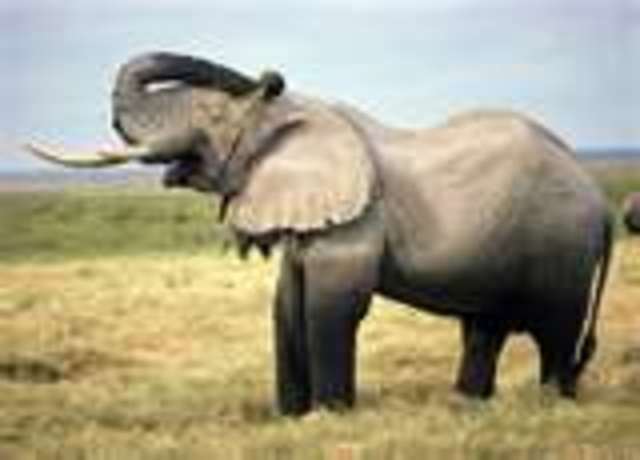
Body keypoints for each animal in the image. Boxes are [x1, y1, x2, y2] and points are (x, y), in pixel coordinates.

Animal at [24, 52, 614, 415]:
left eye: (211, 113)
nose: (271, 75)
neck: (298, 113)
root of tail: (601, 201)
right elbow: (287, 304)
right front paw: (291, 417)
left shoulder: (356, 219)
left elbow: (331, 305)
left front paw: (329, 416)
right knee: (485, 330)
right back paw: (467, 406)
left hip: (562, 246)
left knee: (554, 333)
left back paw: (549, 405)